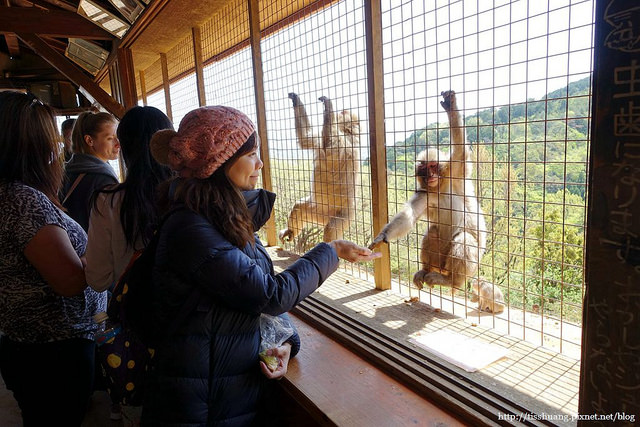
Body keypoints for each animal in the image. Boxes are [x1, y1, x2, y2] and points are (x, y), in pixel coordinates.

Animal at [278, 93, 360, 244]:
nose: (341, 111)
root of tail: (326, 216)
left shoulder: (346, 143)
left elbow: (329, 142)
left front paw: (328, 105)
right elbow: (306, 139)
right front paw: (296, 100)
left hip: (345, 214)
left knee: (331, 230)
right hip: (318, 210)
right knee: (299, 207)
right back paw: (291, 231)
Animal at [368, 90, 488, 290]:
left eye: (433, 166)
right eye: (424, 169)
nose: (430, 175)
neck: (439, 188)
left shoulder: (455, 172)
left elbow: (460, 152)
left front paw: (451, 106)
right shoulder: (425, 194)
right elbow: (409, 217)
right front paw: (383, 236)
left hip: (470, 264)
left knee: (464, 239)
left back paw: (451, 281)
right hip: (440, 260)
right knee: (433, 231)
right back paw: (425, 269)